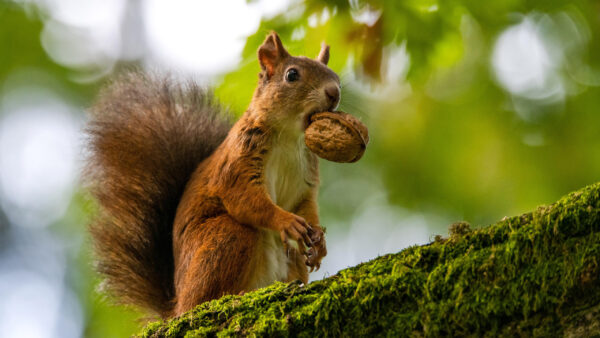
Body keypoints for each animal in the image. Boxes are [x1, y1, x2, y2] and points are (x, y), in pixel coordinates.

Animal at [84, 32, 340, 320]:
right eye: (292, 75)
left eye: (334, 75)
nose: (334, 93)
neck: (289, 136)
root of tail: (177, 305)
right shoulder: (239, 161)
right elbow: (244, 199)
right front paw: (285, 221)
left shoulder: (305, 178)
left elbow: (306, 206)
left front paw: (319, 241)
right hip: (226, 237)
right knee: (205, 295)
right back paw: (231, 297)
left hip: (289, 258)